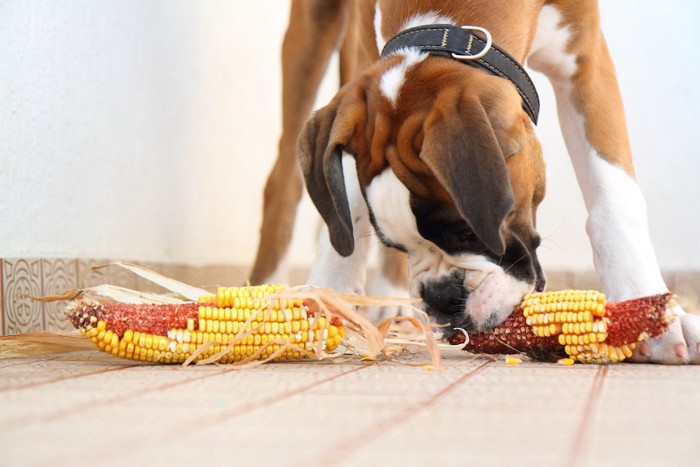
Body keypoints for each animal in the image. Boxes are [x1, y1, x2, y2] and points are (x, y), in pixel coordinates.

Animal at [252, 0, 700, 366]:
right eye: (398, 243)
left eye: (468, 232)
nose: (441, 297)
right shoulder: (363, 73)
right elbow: (349, 208)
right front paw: (329, 293)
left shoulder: (585, 60)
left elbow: (614, 200)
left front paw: (651, 315)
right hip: (313, 29)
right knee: (283, 183)